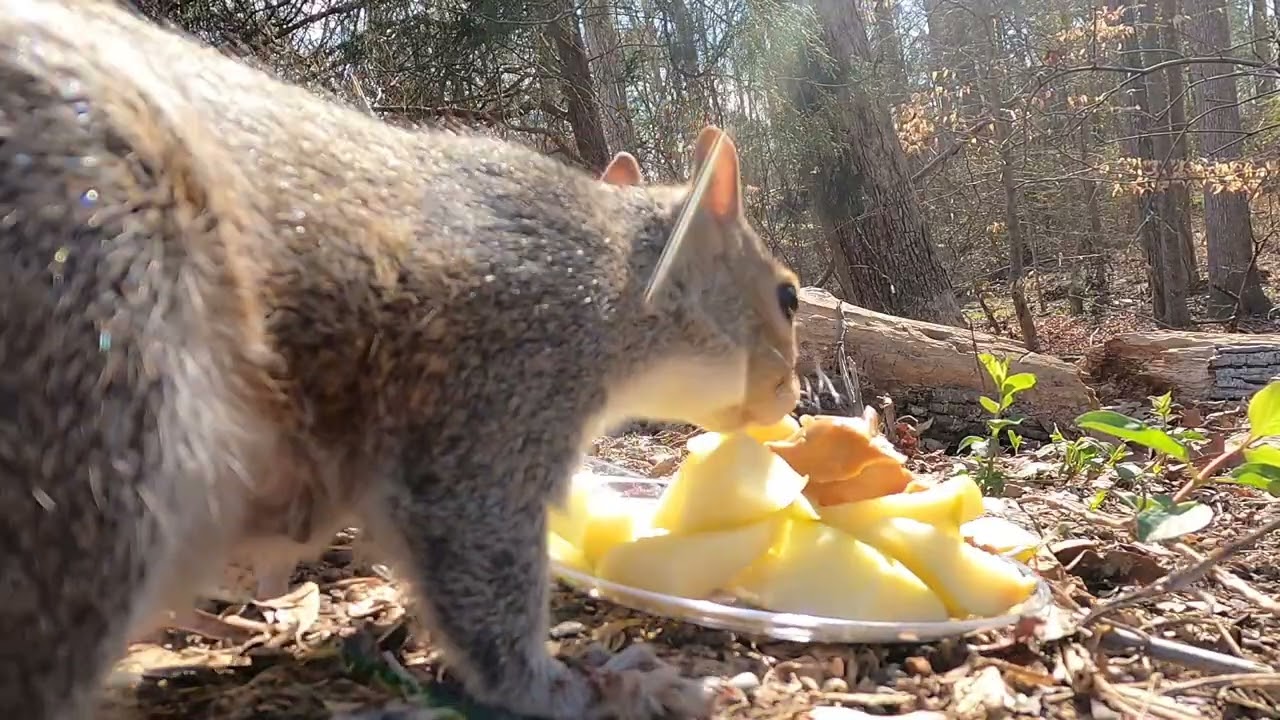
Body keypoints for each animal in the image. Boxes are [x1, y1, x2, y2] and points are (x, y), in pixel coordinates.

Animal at [0, 1, 802, 719]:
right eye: (788, 296)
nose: (793, 397)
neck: (610, 279)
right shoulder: (502, 375)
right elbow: (477, 549)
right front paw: (575, 686)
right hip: (107, 335)